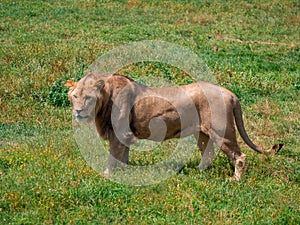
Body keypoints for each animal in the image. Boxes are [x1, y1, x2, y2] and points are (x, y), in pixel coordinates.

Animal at [66, 72, 284, 181]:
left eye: (88, 97)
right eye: (75, 96)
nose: (78, 111)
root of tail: (230, 93)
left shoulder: (120, 133)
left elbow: (113, 157)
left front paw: (107, 175)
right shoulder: (125, 135)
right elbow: (123, 157)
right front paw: (126, 174)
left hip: (224, 132)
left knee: (240, 156)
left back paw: (235, 180)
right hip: (202, 133)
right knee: (208, 153)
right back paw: (197, 172)